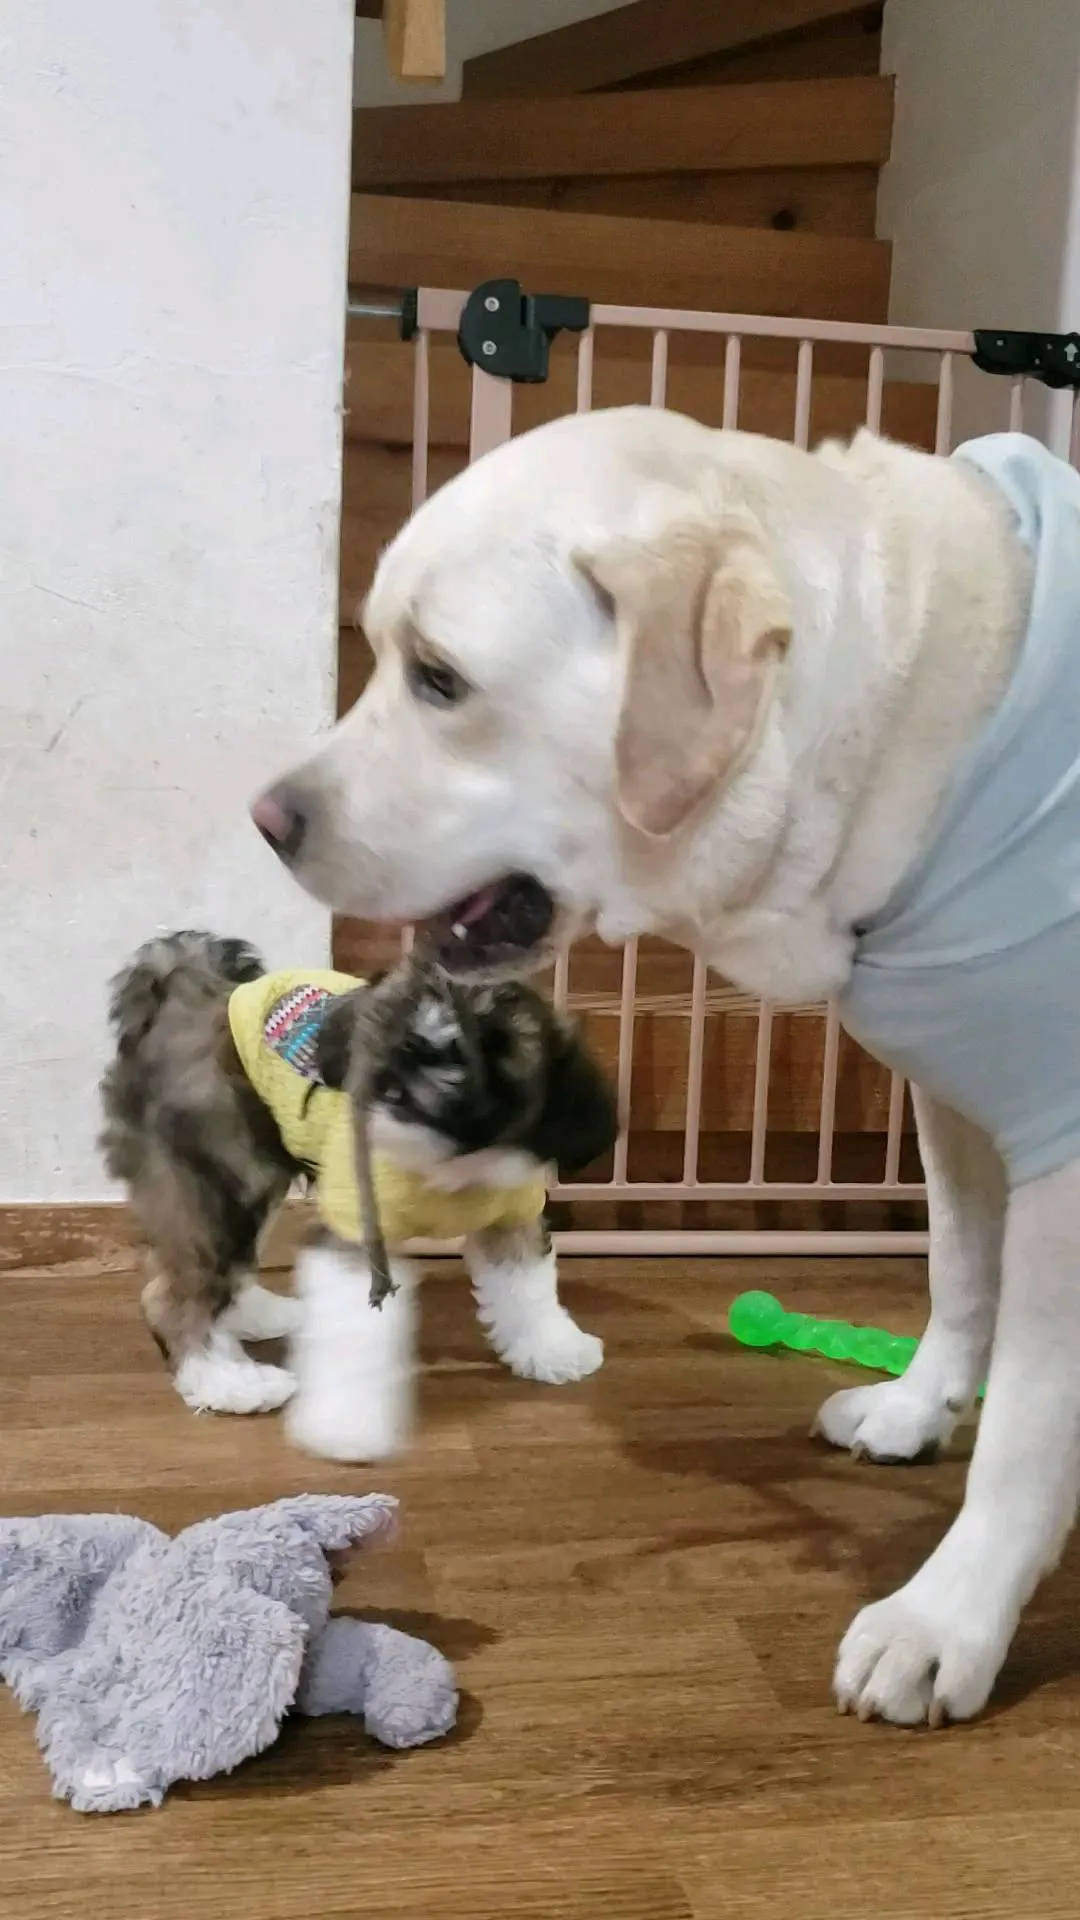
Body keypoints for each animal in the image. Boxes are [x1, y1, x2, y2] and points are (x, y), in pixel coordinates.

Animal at [247, 405, 1076, 1728]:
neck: (912, 725)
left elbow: (1033, 1418)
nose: (266, 821)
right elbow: (959, 1271)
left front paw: (948, 1618)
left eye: (439, 678)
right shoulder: (957, 1094)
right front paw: (917, 1408)